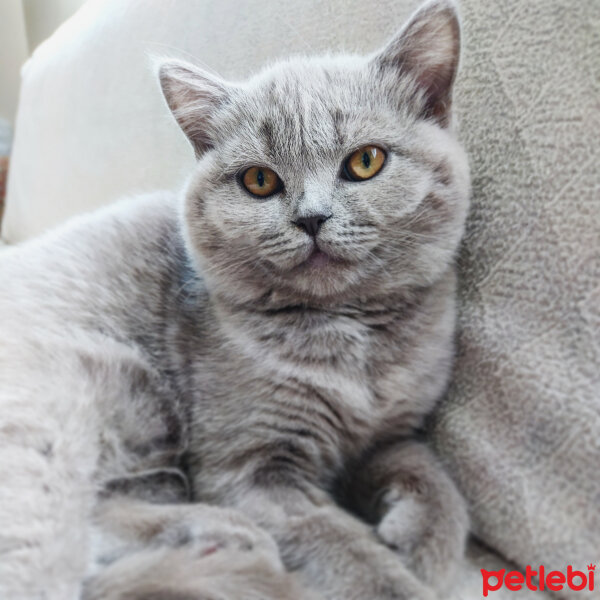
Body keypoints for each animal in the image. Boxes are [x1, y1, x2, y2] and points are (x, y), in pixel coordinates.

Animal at [0, 0, 468, 596]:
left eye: (365, 161)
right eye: (259, 181)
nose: (311, 218)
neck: (353, 341)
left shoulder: (388, 434)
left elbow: (432, 474)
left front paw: (428, 544)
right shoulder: (248, 471)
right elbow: (340, 544)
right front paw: (401, 579)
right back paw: (223, 537)